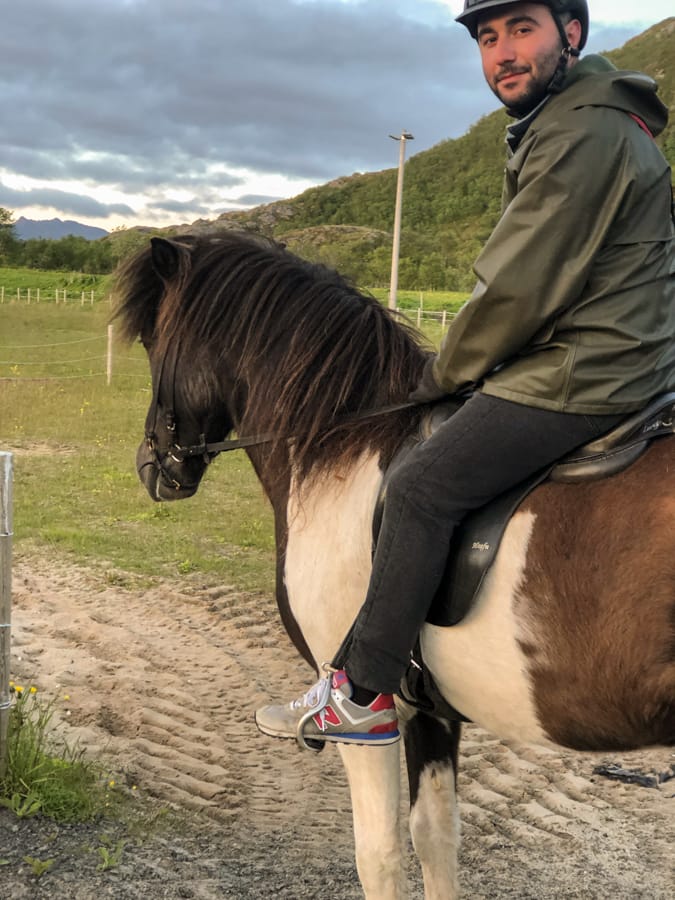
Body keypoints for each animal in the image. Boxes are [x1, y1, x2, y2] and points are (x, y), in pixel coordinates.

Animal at [116, 232, 675, 900]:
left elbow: (378, 856)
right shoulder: (433, 709)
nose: (152, 467)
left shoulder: (368, 722)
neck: (346, 452)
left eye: (153, 342)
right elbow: (436, 837)